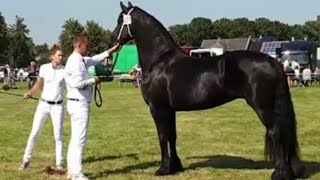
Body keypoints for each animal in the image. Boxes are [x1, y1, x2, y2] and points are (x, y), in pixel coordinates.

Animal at [110, 2, 304, 179]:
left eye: (120, 20)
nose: (112, 40)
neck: (160, 61)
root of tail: (273, 61)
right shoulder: (170, 110)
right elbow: (172, 136)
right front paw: (175, 167)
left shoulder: (158, 109)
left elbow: (162, 136)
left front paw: (163, 169)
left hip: (263, 107)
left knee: (275, 132)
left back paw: (279, 173)